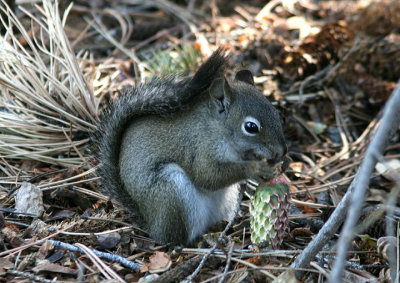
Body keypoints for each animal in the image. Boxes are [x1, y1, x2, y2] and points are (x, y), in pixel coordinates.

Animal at [94, 47, 288, 245]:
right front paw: (255, 168)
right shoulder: (198, 148)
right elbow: (207, 176)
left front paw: (280, 165)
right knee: (174, 238)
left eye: (275, 113)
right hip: (171, 191)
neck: (217, 130)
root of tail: (150, 223)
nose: (282, 151)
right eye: (250, 127)